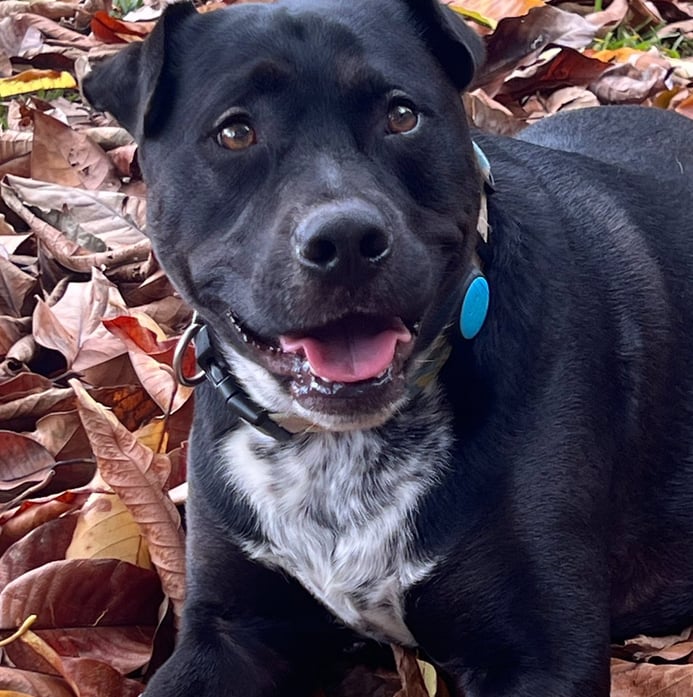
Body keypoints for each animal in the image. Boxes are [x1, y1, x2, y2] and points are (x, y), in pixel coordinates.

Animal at [84, 2, 692, 692]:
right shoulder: (229, 629)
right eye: (235, 133)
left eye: (402, 115)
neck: (336, 446)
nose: (346, 239)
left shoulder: (544, 656)